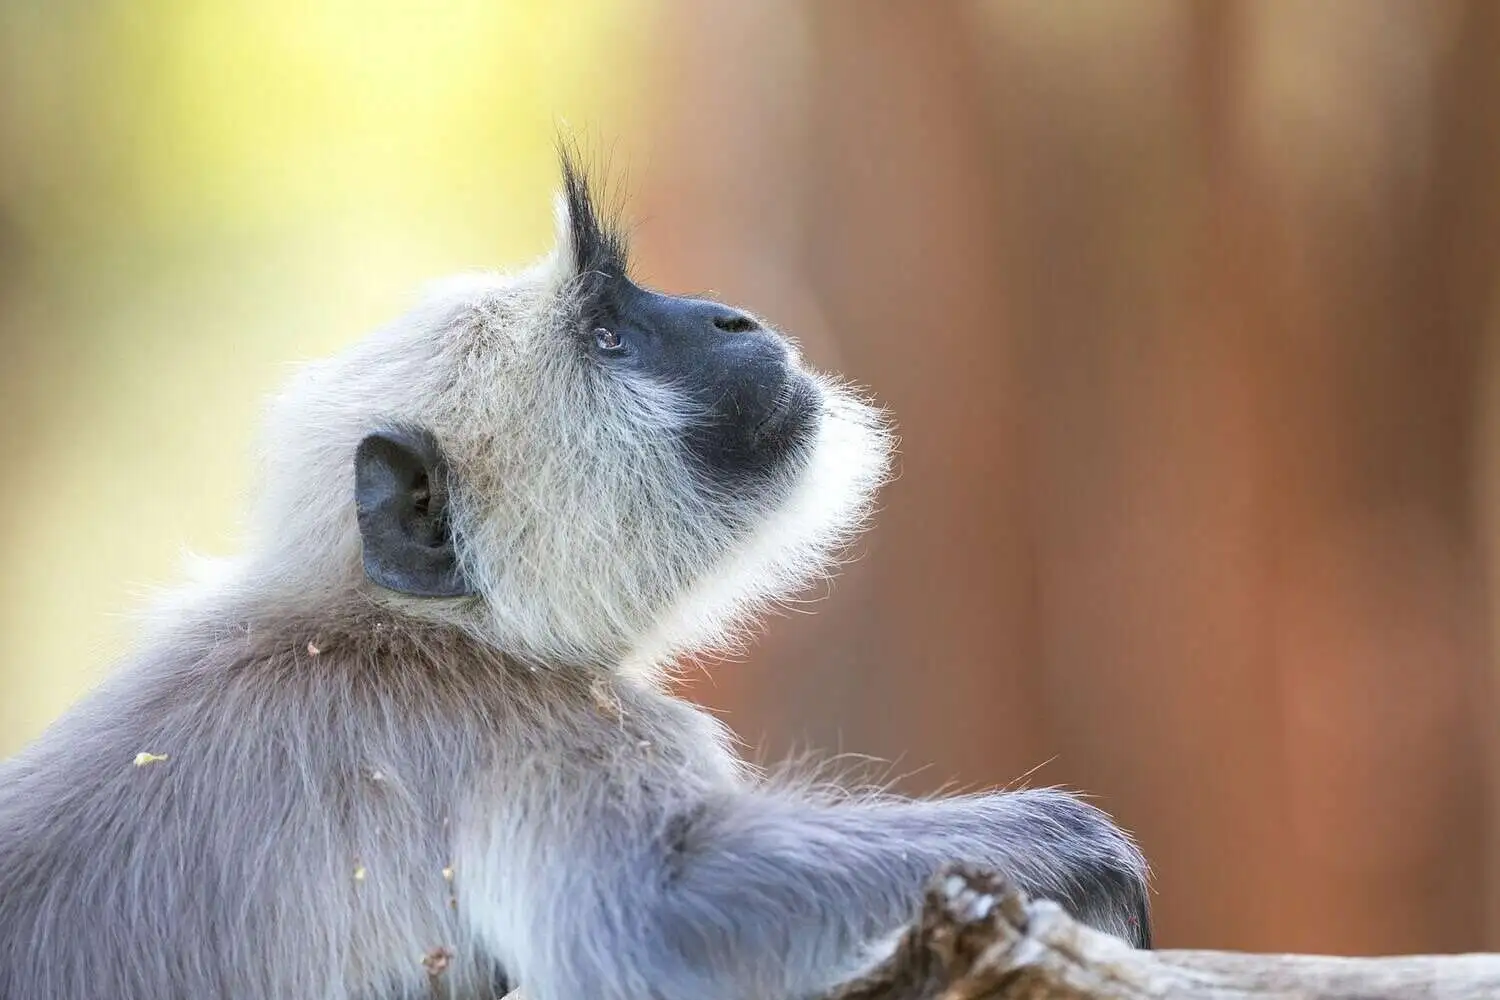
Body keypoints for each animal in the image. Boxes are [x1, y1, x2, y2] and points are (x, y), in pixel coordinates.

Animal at [0, 148, 1146, 1000]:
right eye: (608, 337)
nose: (730, 316)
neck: (400, 624)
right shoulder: (528, 727)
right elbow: (651, 921)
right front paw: (1068, 842)